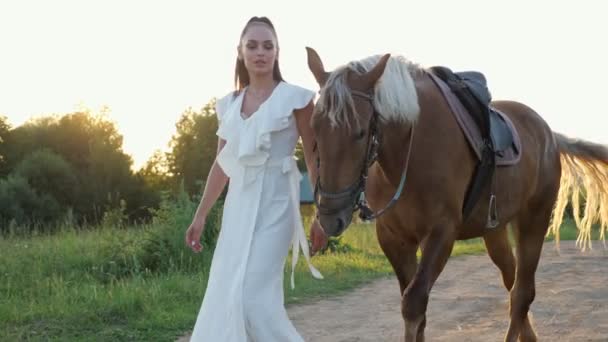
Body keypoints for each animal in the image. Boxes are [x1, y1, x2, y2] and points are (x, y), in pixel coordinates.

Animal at [306, 46, 608, 342]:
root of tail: (548, 134)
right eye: (314, 129)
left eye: (360, 132)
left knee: (522, 293)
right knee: (512, 283)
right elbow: (415, 310)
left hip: (534, 221)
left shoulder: (442, 232)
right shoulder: (394, 239)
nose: (330, 216)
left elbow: (413, 304)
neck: (408, 154)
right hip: (495, 231)